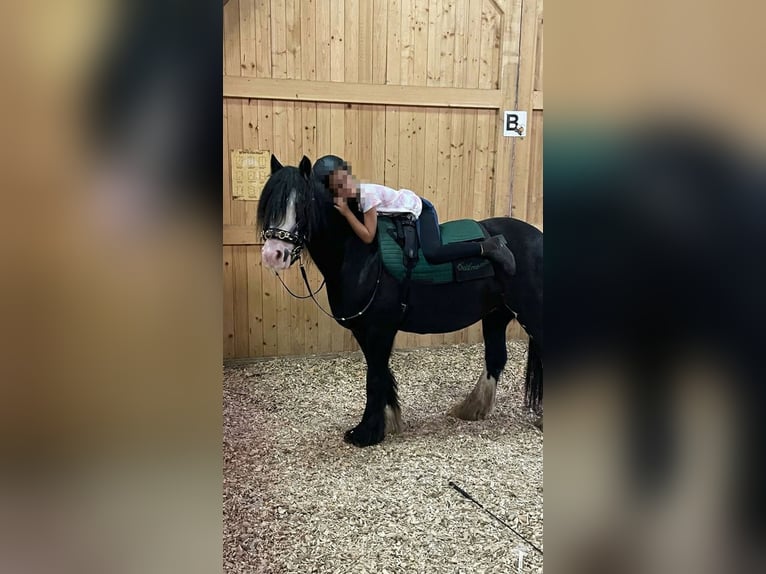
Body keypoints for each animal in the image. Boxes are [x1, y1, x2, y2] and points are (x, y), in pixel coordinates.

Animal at [257, 155, 543, 447]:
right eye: (268, 204)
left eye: (303, 205)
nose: (273, 254)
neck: (363, 255)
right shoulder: (364, 330)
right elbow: (381, 373)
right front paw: (387, 421)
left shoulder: (379, 329)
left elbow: (374, 377)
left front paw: (366, 432)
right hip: (497, 314)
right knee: (496, 357)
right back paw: (472, 408)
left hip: (530, 313)